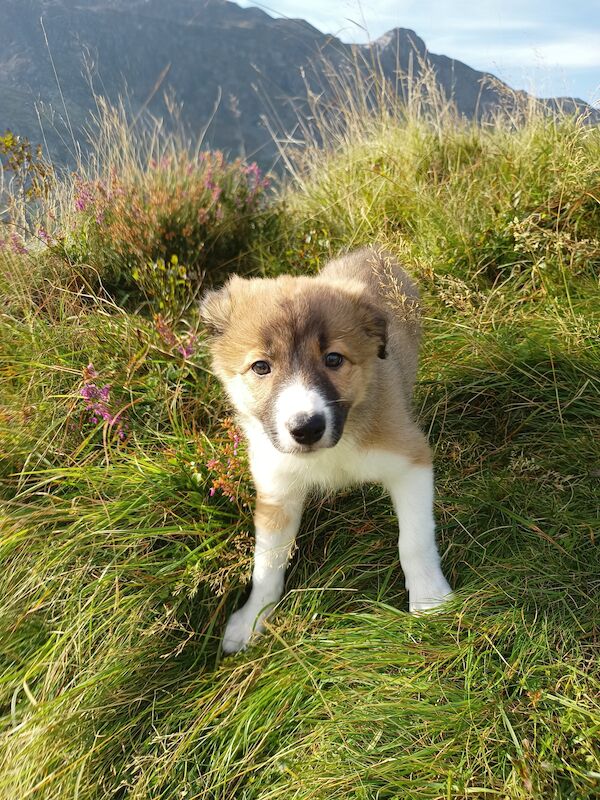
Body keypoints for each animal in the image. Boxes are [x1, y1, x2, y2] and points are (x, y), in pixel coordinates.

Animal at [200, 247, 450, 652]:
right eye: (261, 367)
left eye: (333, 359)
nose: (306, 428)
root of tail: (369, 250)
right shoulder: (276, 490)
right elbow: (266, 564)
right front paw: (252, 619)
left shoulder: (409, 460)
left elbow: (414, 540)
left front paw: (429, 600)